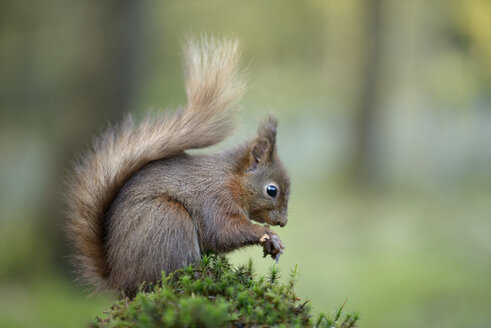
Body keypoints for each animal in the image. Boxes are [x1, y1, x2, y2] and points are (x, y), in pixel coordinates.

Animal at [64, 36, 288, 298]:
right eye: (271, 190)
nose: (283, 222)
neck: (230, 178)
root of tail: (120, 280)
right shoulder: (215, 199)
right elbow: (223, 231)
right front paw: (267, 234)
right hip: (169, 221)